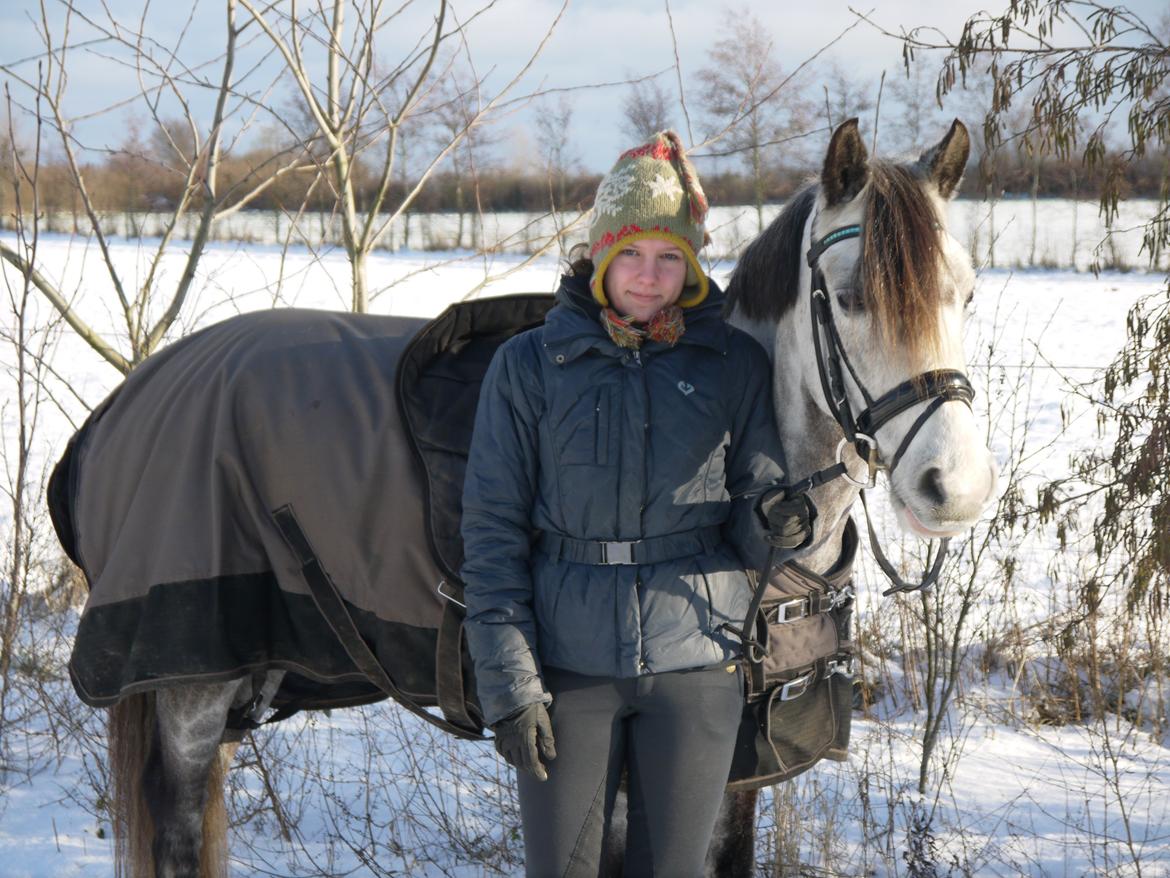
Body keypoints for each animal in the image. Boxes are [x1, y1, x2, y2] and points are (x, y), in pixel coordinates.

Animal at [49, 118, 997, 878]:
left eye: (967, 293)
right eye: (851, 299)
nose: (954, 488)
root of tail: (125, 403)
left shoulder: (738, 760)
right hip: (189, 686)